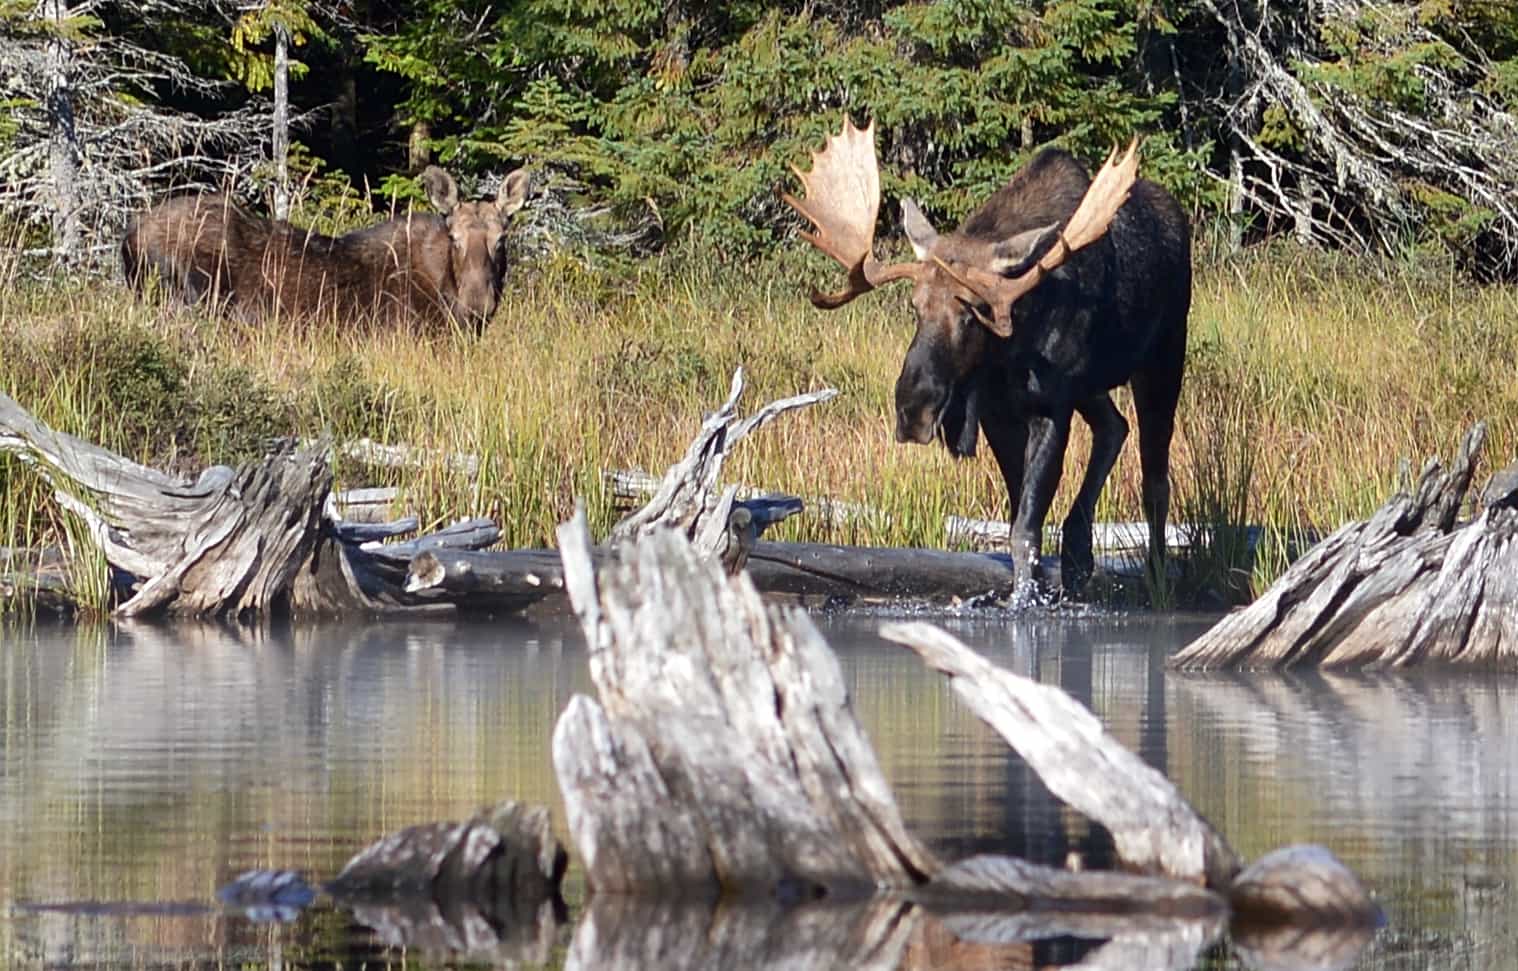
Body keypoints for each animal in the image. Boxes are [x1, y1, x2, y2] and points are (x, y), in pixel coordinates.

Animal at [784, 118, 1190, 598]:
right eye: (915, 306)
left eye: (972, 314)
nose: (914, 407)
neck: (1007, 352)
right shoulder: (1000, 412)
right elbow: (1020, 516)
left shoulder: (1050, 406)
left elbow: (1025, 530)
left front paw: (1026, 599)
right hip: (1091, 387)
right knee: (1114, 426)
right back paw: (1077, 550)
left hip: (1164, 356)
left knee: (1155, 478)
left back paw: (1157, 575)